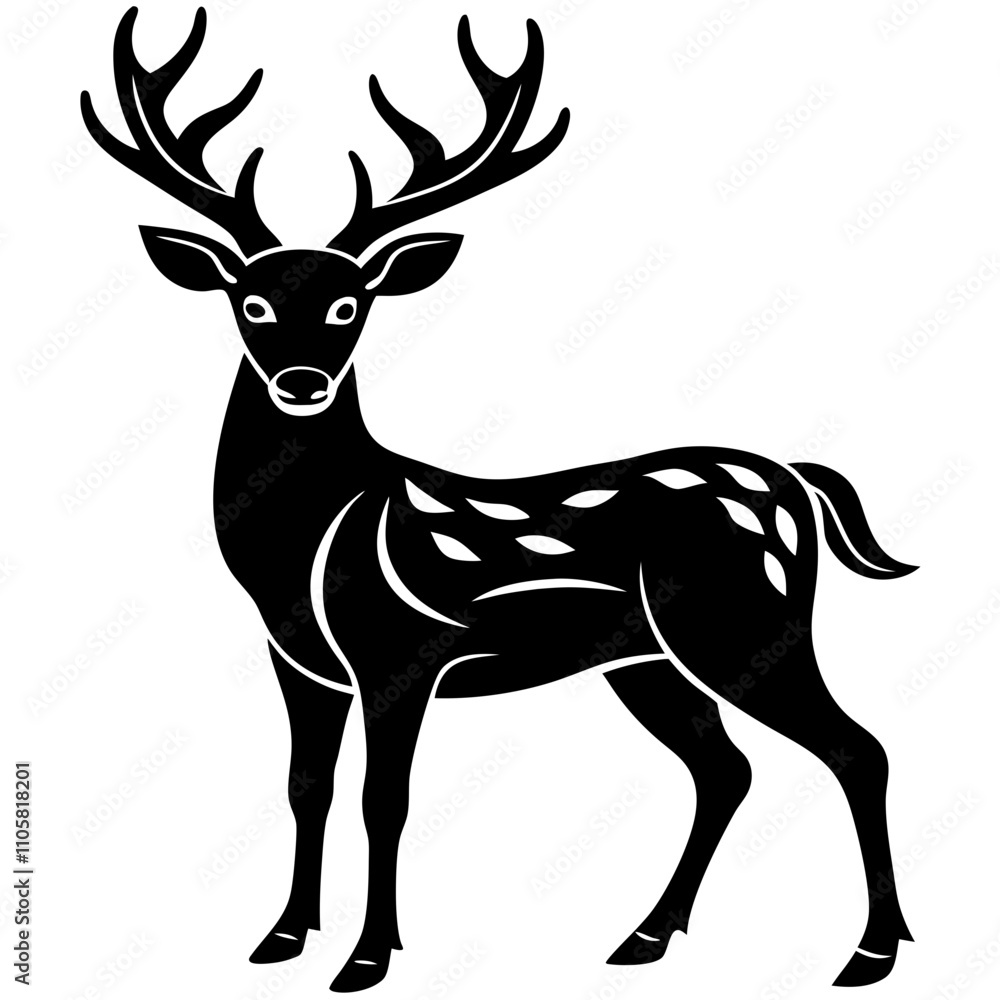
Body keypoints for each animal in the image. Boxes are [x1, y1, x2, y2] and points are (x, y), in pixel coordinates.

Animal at [82, 7, 916, 993]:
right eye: (250, 301)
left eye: (350, 306)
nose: (301, 382)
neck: (303, 551)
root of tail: (795, 482)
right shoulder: (299, 661)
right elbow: (303, 787)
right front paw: (281, 937)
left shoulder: (402, 648)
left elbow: (385, 798)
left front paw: (368, 958)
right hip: (650, 659)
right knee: (726, 768)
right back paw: (643, 937)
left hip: (747, 618)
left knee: (857, 747)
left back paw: (870, 952)